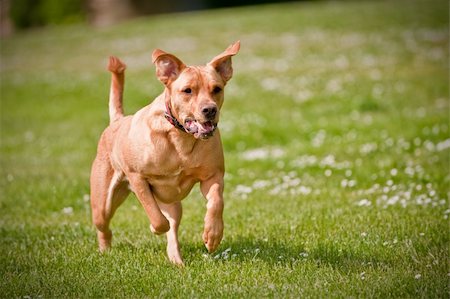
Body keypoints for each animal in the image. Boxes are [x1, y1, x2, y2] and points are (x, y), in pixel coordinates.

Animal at [89, 41, 241, 266]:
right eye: (187, 90)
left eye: (217, 89)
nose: (210, 110)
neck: (181, 137)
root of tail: (117, 121)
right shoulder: (137, 177)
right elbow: (155, 216)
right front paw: (154, 227)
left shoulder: (213, 176)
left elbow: (216, 202)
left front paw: (212, 235)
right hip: (103, 202)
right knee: (104, 225)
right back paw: (104, 250)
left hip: (173, 205)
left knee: (173, 229)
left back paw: (177, 260)